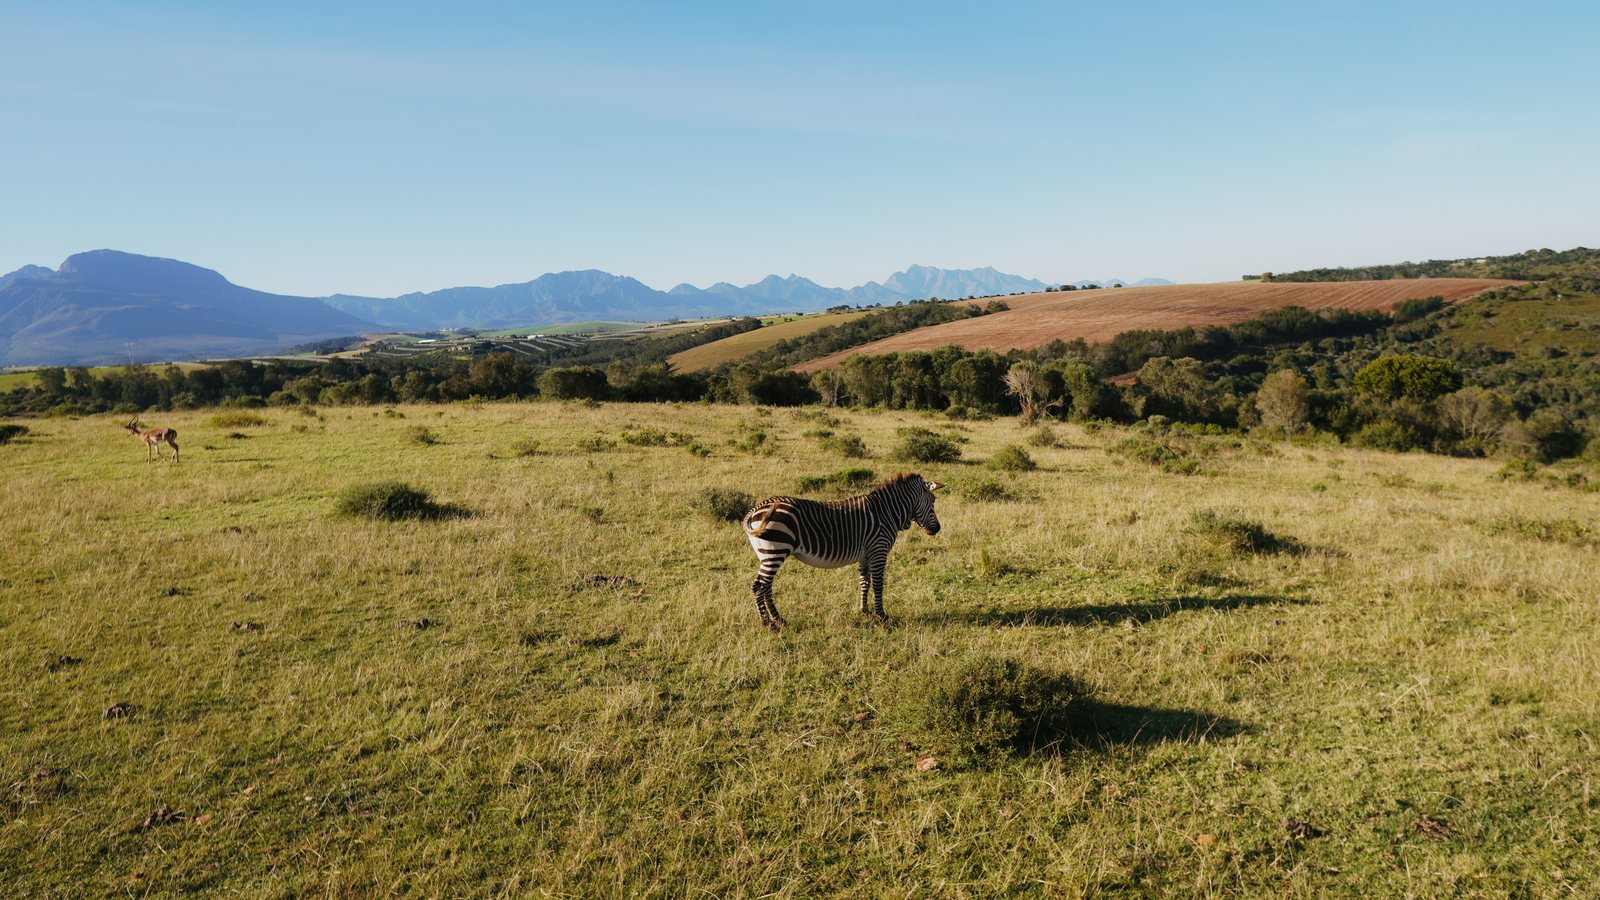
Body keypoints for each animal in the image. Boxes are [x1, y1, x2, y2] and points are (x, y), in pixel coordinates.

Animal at [741, 472, 944, 630]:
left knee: (766, 585)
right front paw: (882, 616)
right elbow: (878, 584)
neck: (887, 513)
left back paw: (778, 619)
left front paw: (865, 611)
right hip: (775, 550)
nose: (937, 529)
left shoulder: (866, 555)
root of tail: (755, 509)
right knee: (759, 586)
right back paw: (768, 624)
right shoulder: (879, 550)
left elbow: (864, 583)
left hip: (768, 554)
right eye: (933, 501)